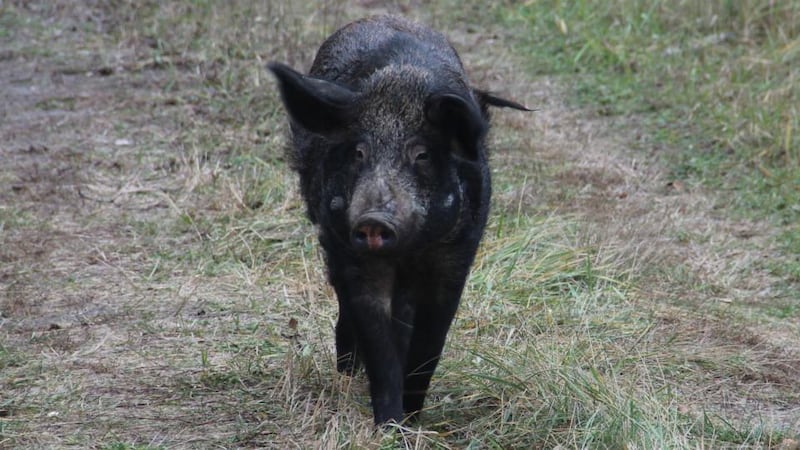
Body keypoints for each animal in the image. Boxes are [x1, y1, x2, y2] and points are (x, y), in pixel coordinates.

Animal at [268, 15, 528, 425]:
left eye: (421, 154)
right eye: (359, 151)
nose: (374, 219)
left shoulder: (455, 256)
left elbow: (430, 341)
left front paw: (413, 419)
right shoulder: (349, 249)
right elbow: (377, 337)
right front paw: (390, 425)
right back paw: (347, 372)